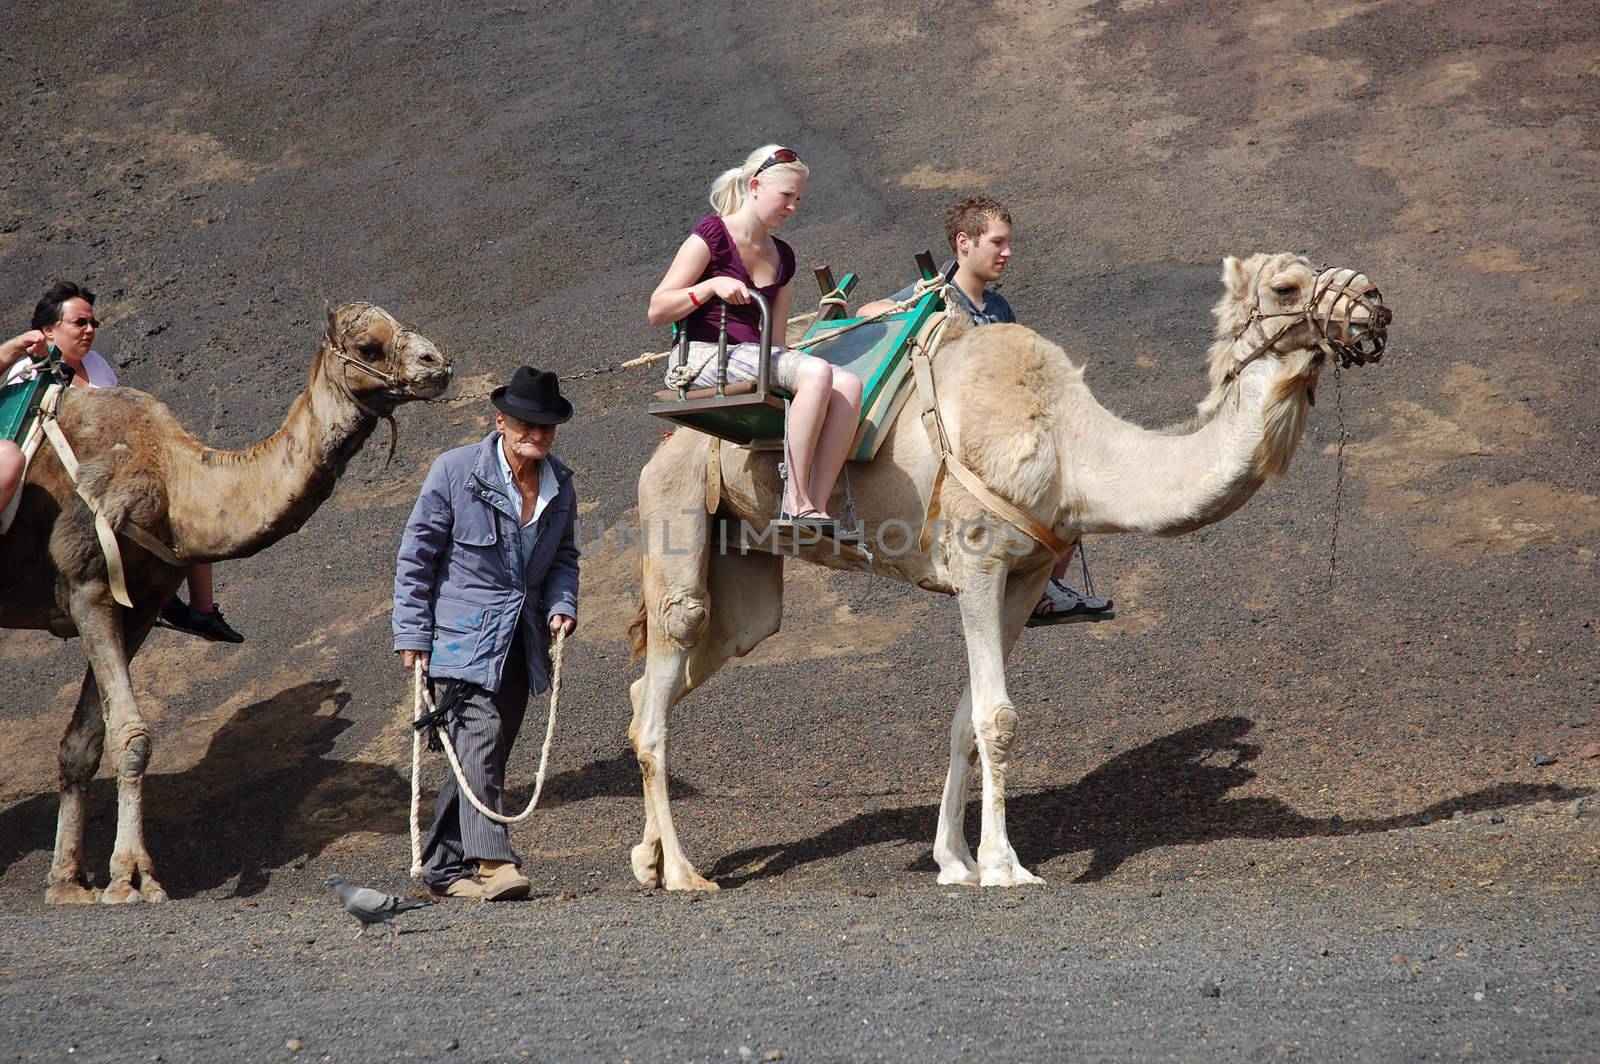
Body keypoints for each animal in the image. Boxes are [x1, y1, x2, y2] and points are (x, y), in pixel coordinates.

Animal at [1, 302, 451, 902]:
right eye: (369, 347)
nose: (436, 362)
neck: (172, 480)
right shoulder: (87, 585)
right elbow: (132, 735)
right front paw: (133, 878)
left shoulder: (140, 607)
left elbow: (84, 743)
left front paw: (68, 883)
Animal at [624, 251, 1388, 889]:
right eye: (1286, 285)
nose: (1374, 302)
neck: (1070, 449)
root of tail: (667, 434)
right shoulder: (978, 559)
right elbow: (997, 716)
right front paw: (1002, 866)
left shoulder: (1025, 580)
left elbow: (967, 718)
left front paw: (954, 862)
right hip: (675, 508)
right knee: (670, 654)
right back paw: (686, 875)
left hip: (748, 578)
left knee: (663, 680)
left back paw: (647, 859)